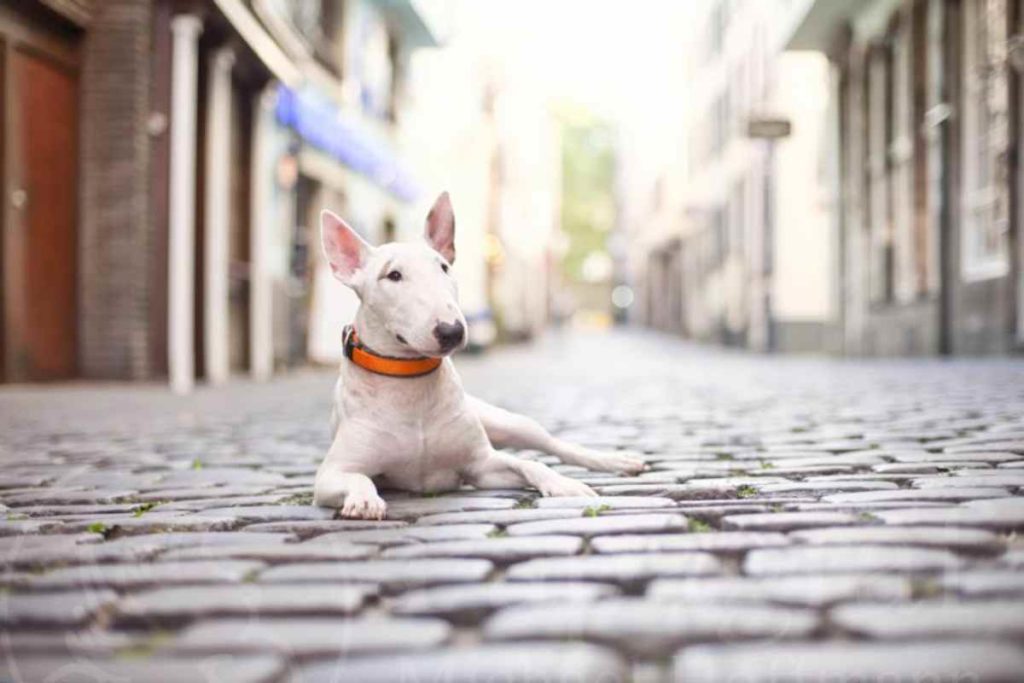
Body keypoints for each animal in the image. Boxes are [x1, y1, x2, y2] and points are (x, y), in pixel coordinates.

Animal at [315, 192, 643, 518]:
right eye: (393, 275)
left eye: (444, 268)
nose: (452, 331)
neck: (411, 385)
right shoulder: (330, 474)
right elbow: (358, 477)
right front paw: (364, 500)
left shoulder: (481, 464)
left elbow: (530, 462)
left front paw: (564, 485)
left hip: (510, 423)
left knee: (555, 445)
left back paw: (616, 461)